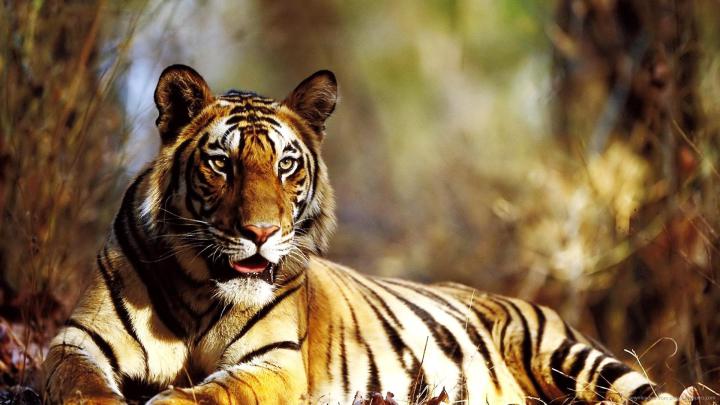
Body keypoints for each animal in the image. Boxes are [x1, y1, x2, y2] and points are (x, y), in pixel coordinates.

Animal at [42, 64, 683, 405]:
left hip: (576, 360)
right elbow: (78, 384)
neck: (200, 289)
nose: (261, 232)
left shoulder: (272, 364)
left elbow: (210, 393)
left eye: (286, 165)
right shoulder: (77, 341)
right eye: (221, 163)